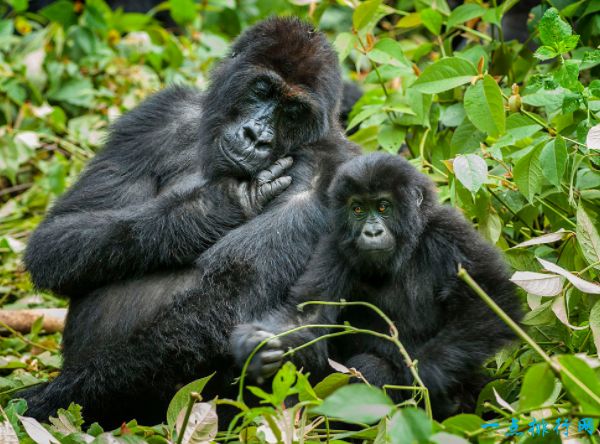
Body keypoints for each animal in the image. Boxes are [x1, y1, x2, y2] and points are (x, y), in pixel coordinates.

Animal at [22, 17, 360, 426]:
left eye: (294, 111)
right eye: (262, 89)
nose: (256, 136)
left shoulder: (331, 171)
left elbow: (232, 296)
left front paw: (49, 399)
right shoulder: (158, 114)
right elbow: (55, 237)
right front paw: (211, 208)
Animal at [232, 152, 524, 416]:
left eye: (383, 206)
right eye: (358, 209)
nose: (372, 232)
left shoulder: (450, 232)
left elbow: (491, 300)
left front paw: (425, 374)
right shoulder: (334, 247)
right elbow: (306, 316)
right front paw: (254, 344)